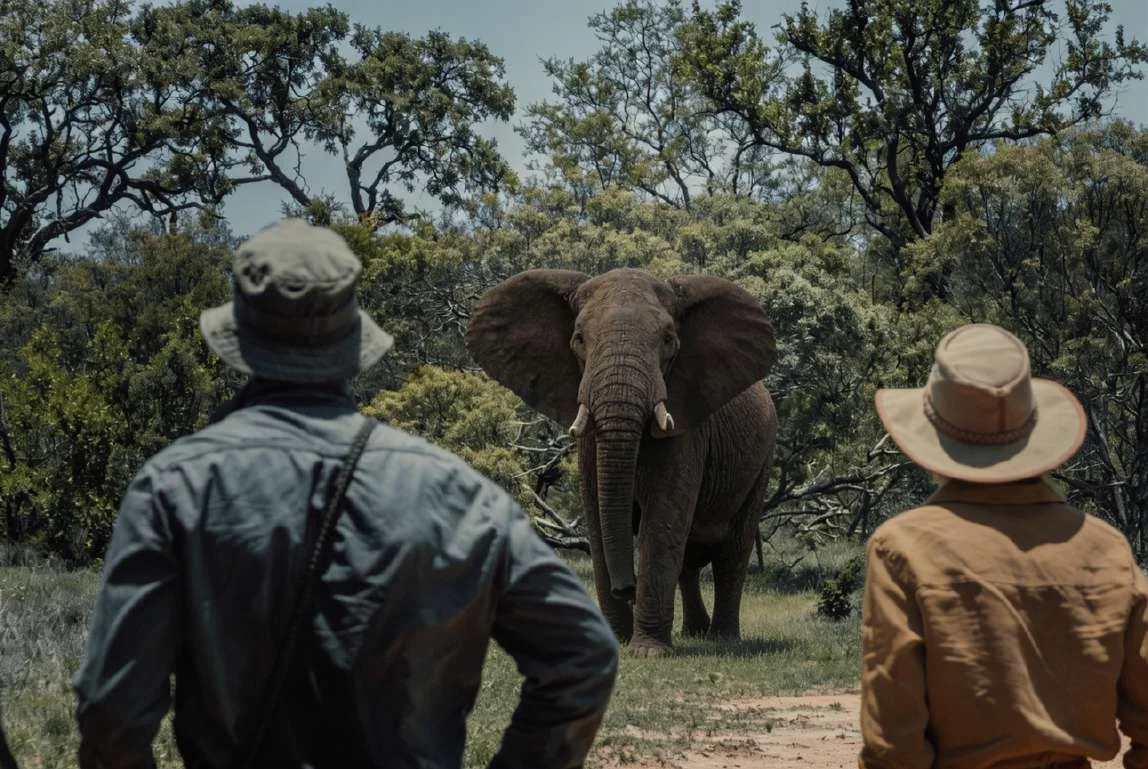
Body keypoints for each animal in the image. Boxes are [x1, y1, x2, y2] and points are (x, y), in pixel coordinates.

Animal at [464, 266, 778, 656]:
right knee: (690, 560)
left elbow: (662, 521)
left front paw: (647, 652)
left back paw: (723, 639)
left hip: (763, 455)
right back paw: (694, 632)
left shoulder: (687, 426)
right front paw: (614, 641)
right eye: (579, 339)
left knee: (732, 552)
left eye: (669, 341)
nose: (625, 587)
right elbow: (599, 516)